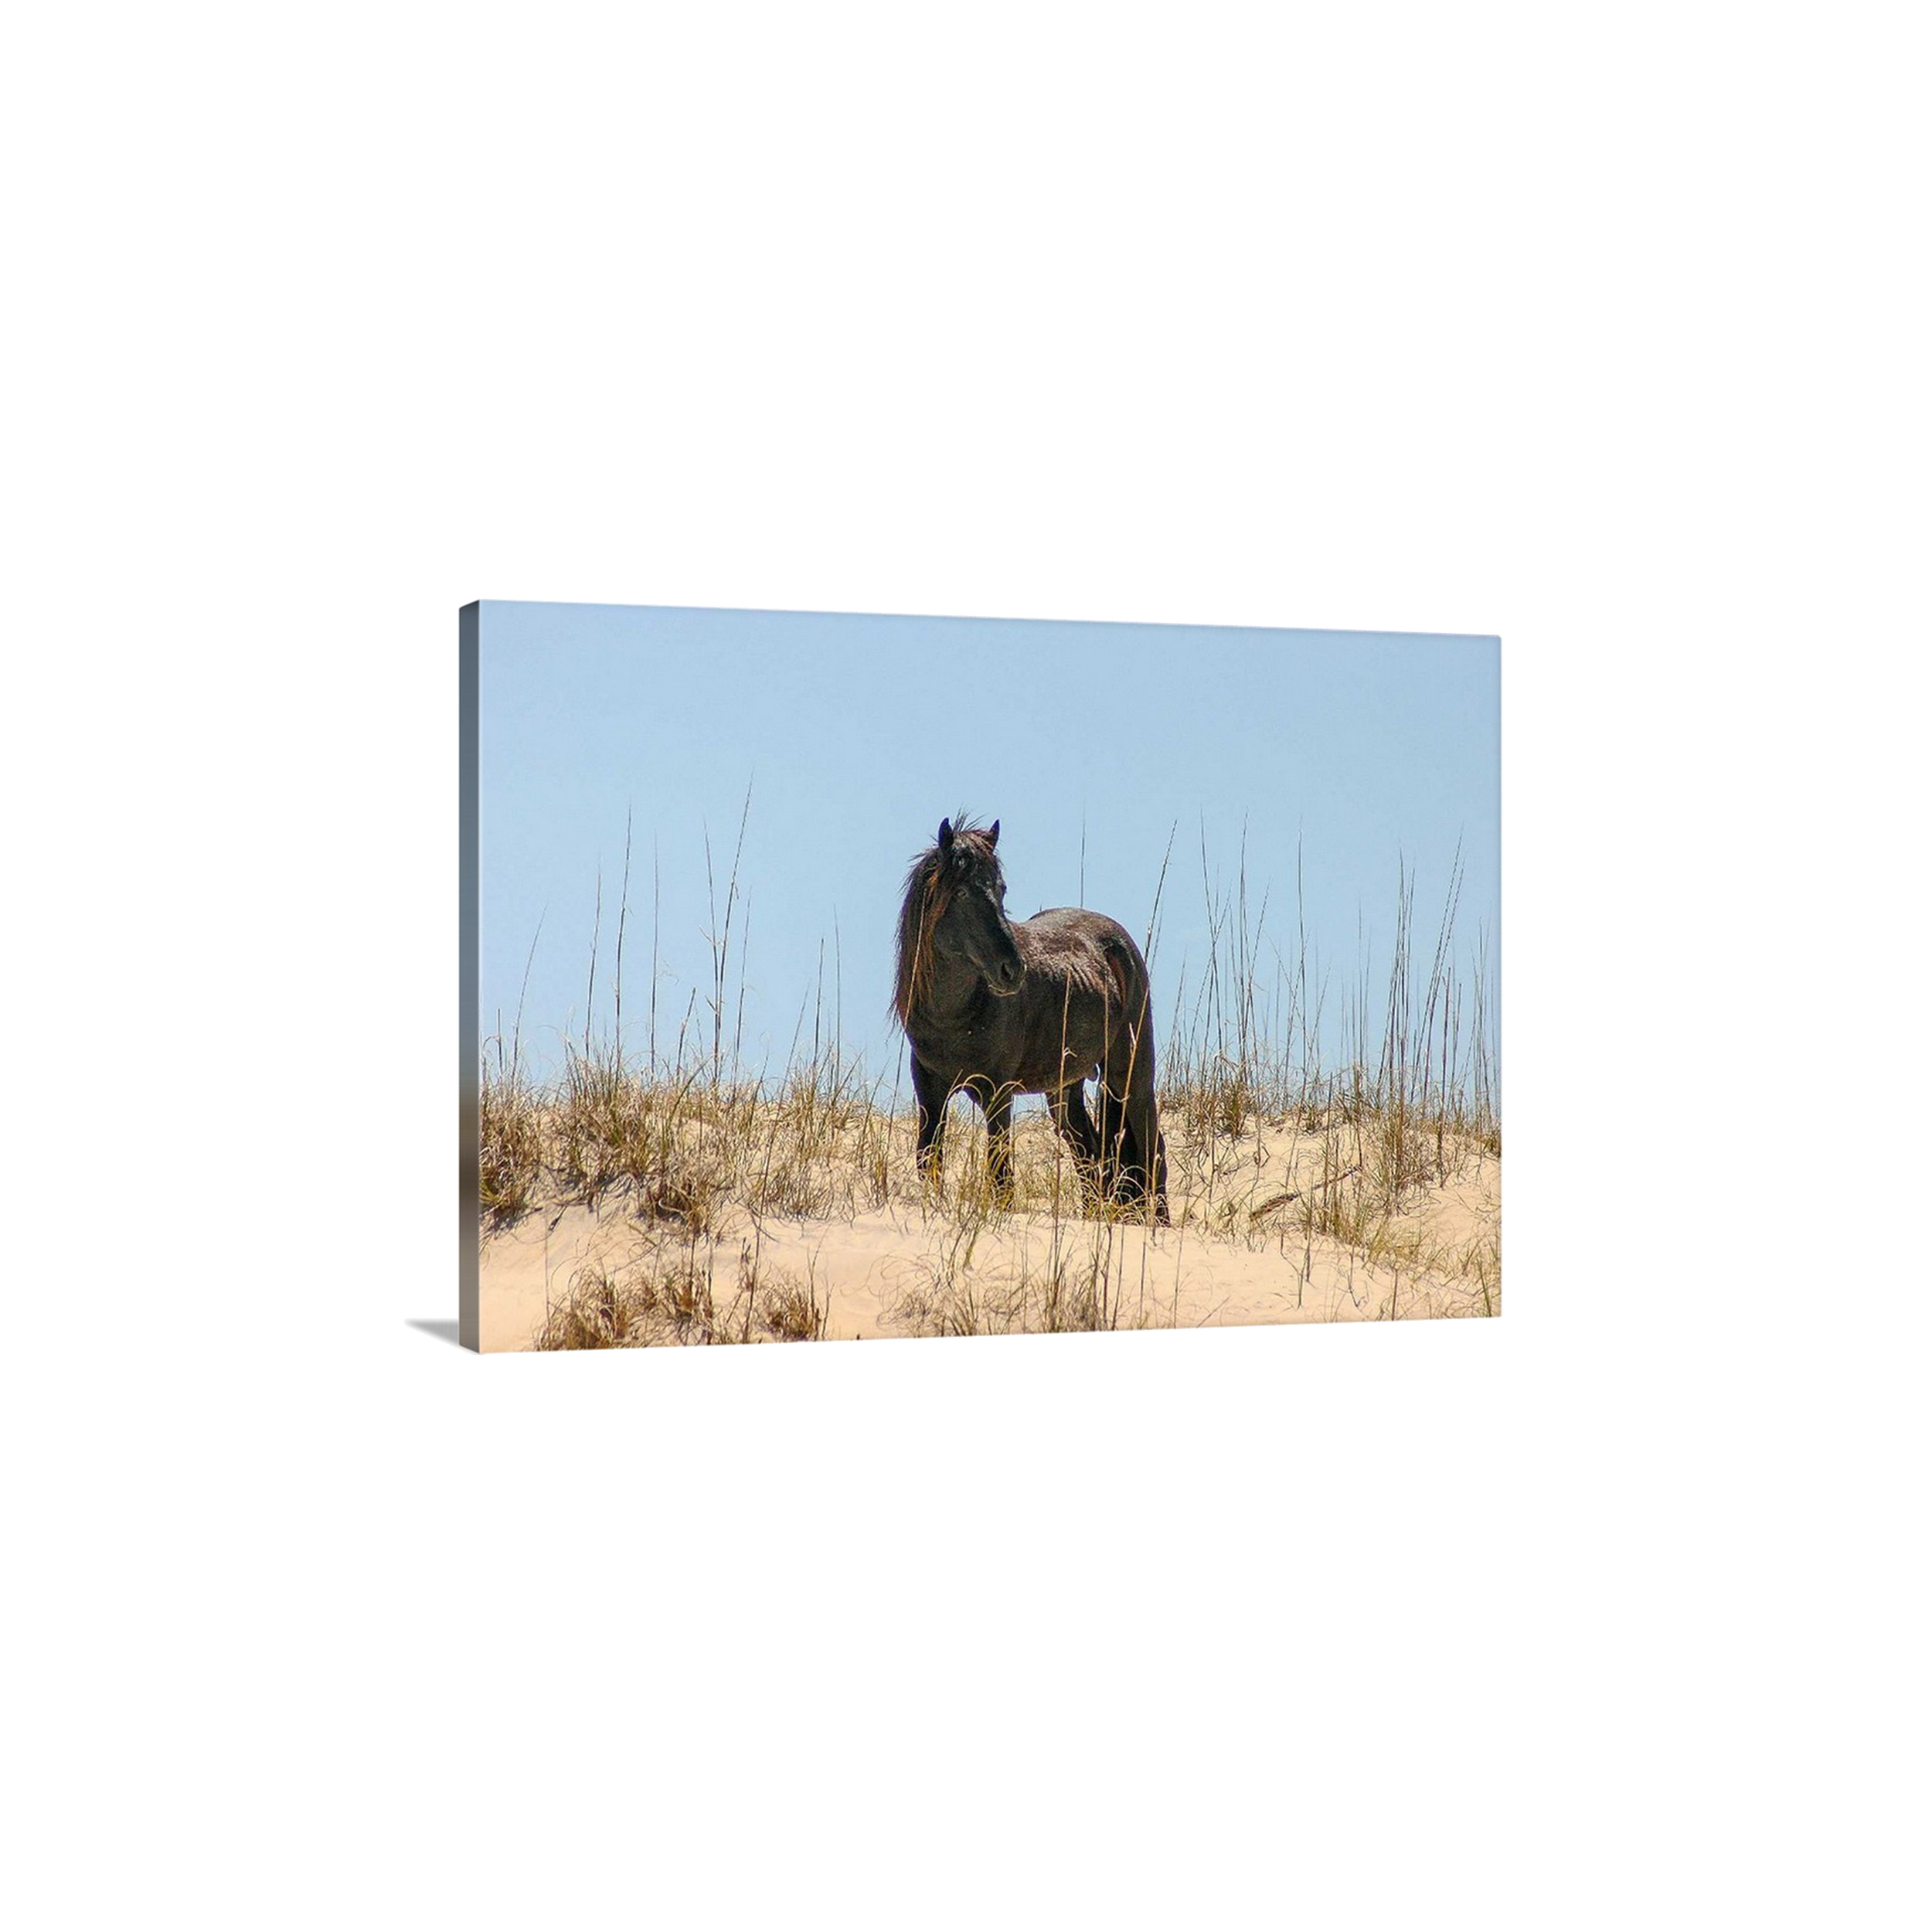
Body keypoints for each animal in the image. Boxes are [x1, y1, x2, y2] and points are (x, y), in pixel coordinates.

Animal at [892, 815, 1169, 1223]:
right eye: (961, 893)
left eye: (1001, 888)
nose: (1012, 970)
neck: (954, 1018)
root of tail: (1120, 943)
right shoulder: (929, 1090)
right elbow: (929, 1161)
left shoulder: (997, 1093)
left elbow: (1000, 1175)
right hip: (1064, 1090)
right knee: (1089, 1155)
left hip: (1130, 1075)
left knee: (1152, 1152)